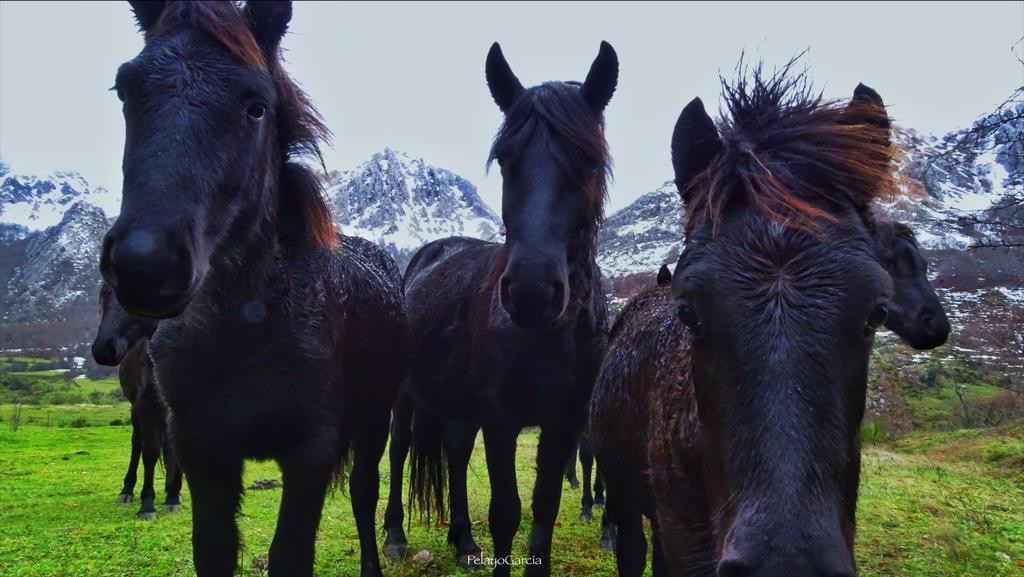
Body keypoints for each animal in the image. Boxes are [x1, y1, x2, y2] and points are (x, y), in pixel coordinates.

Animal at [91, 282, 182, 518]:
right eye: (104, 296)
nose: (104, 349)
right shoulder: (146, 406)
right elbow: (149, 452)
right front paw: (147, 505)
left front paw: (173, 497)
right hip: (136, 410)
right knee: (137, 444)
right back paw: (127, 490)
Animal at [101, 2, 405, 573]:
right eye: (125, 90)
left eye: (257, 107)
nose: (146, 265)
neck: (250, 325)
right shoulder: (203, 450)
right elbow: (212, 549)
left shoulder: (311, 452)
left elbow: (290, 554)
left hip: (376, 418)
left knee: (364, 492)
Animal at [385, 41, 614, 577]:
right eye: (506, 161)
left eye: (590, 163)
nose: (532, 291)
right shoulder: (502, 417)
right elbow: (507, 513)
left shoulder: (563, 421)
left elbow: (544, 509)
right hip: (406, 396)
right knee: (401, 448)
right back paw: (395, 536)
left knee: (453, 451)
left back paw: (464, 541)